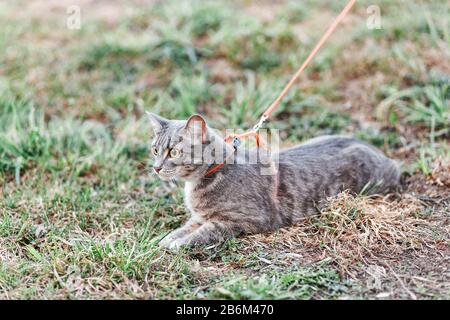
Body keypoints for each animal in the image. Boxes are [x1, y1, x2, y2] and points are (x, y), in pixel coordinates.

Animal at [149, 112, 400, 250]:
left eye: (174, 152)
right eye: (155, 150)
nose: (156, 167)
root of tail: (386, 158)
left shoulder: (246, 219)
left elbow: (205, 232)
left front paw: (177, 244)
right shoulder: (198, 217)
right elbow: (182, 229)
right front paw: (164, 240)